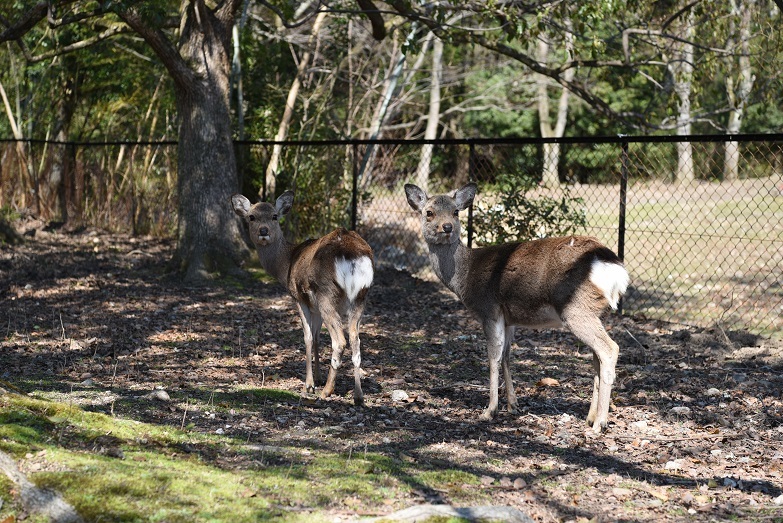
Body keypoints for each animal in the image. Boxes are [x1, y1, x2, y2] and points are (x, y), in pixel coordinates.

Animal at [231, 190, 376, 408]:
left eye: (275, 216)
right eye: (252, 217)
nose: (263, 231)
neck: (286, 264)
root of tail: (352, 255)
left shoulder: (299, 297)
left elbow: (307, 337)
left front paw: (309, 385)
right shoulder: (314, 305)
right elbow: (316, 337)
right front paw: (317, 377)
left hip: (326, 293)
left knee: (340, 341)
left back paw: (326, 391)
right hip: (361, 297)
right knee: (355, 341)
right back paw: (358, 396)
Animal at [404, 184, 632, 434]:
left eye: (455, 212)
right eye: (429, 213)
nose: (447, 227)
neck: (465, 277)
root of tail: (615, 271)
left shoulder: (489, 309)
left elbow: (493, 356)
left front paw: (489, 410)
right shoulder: (508, 318)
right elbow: (506, 355)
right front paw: (513, 405)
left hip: (576, 310)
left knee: (609, 349)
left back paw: (600, 423)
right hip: (597, 312)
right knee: (596, 358)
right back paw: (590, 417)